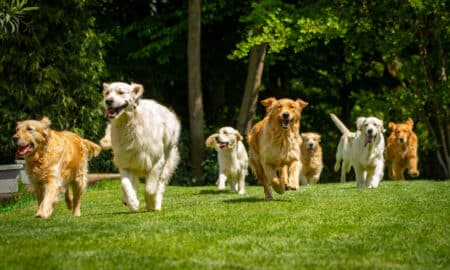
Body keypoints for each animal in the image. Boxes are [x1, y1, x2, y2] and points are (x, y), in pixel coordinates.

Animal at [103, 81, 180, 212]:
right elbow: (125, 184)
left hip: (167, 163)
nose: (108, 101)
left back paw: (157, 204)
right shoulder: (125, 162)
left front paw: (150, 204)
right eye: (107, 93)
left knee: (160, 185)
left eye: (120, 92)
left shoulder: (157, 161)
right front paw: (132, 203)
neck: (129, 123)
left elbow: (149, 189)